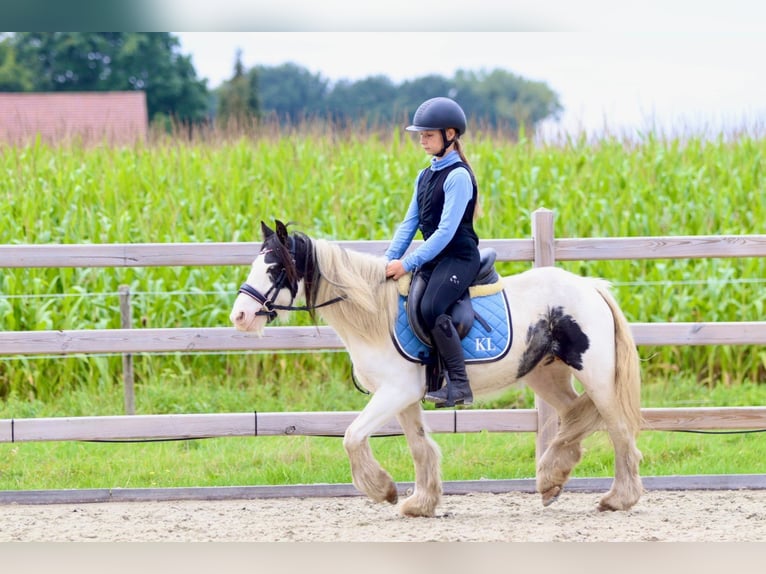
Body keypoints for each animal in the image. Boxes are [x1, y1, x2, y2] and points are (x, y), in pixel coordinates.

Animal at [231, 220, 644, 516]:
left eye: (273, 268)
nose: (240, 316)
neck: (374, 314)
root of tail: (590, 287)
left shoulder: (395, 392)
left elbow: (352, 436)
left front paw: (383, 489)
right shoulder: (405, 397)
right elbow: (418, 446)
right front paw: (420, 503)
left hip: (596, 375)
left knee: (619, 430)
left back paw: (618, 499)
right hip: (546, 374)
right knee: (574, 416)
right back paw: (551, 479)